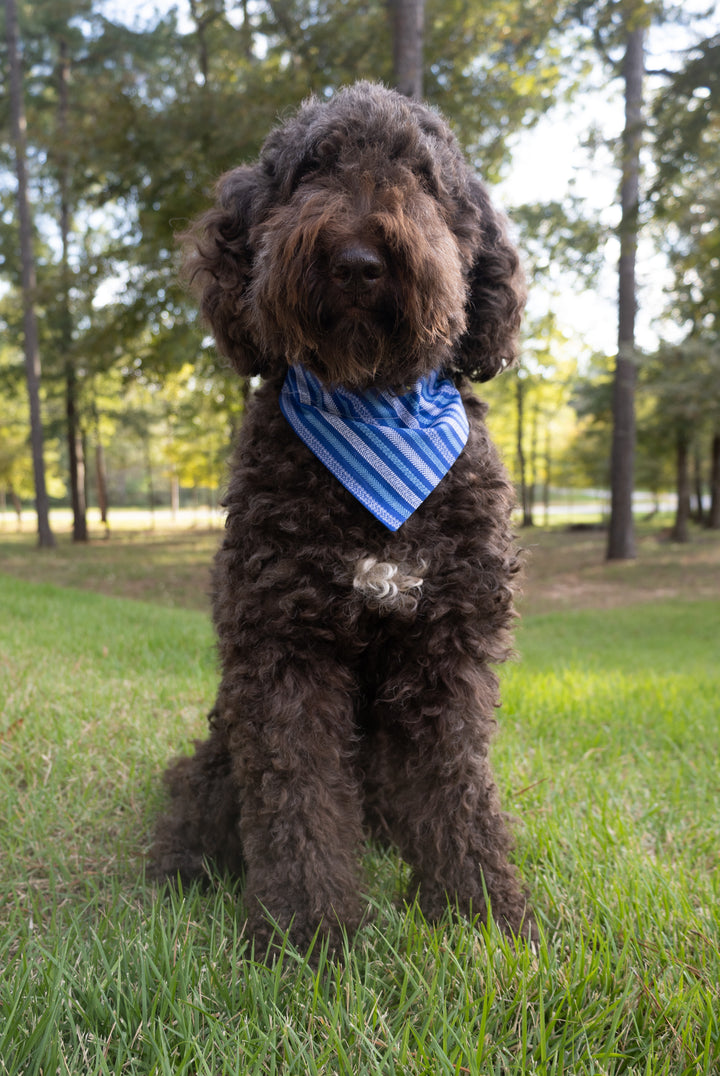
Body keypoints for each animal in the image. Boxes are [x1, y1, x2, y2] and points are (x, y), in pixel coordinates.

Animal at [151, 79, 533, 951]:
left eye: (421, 176)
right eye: (311, 170)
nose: (359, 262)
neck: (371, 404)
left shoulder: (448, 649)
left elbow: (458, 789)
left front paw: (482, 913)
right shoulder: (285, 648)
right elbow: (295, 798)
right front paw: (308, 932)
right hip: (218, 747)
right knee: (198, 799)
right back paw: (179, 867)